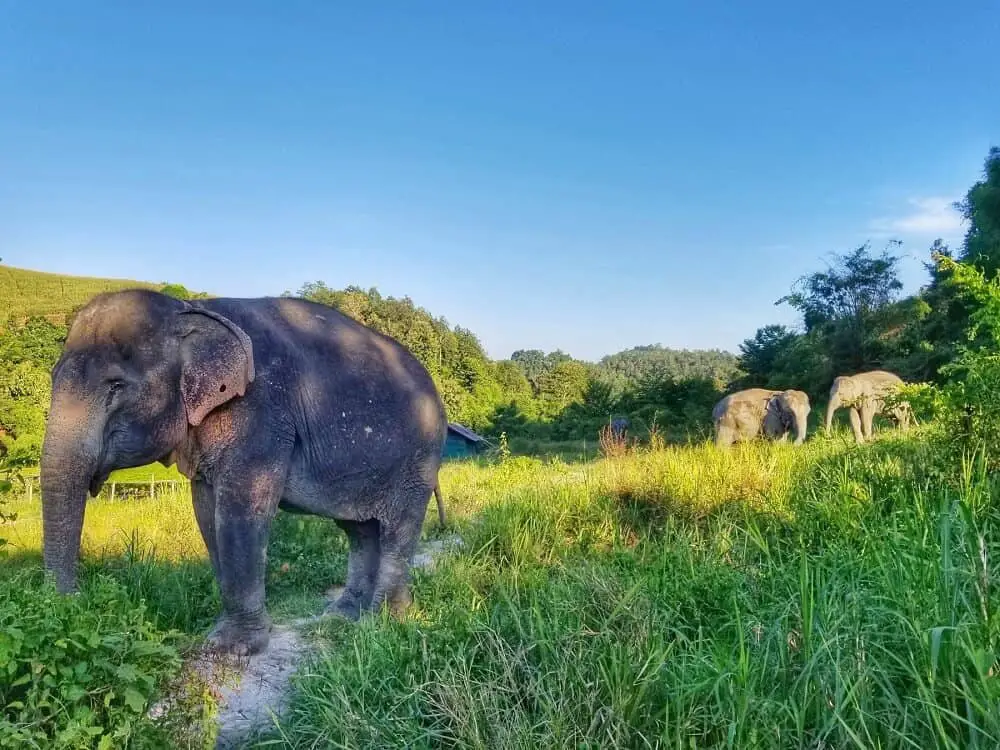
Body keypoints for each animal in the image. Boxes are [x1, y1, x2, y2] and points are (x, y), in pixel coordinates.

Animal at [38, 290, 446, 656]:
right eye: (53, 375)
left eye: (116, 386)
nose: (77, 601)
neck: (191, 309)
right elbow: (206, 512)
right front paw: (223, 635)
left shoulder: (261, 413)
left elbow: (240, 510)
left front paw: (232, 649)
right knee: (360, 531)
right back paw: (344, 616)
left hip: (419, 460)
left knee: (397, 528)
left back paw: (384, 621)